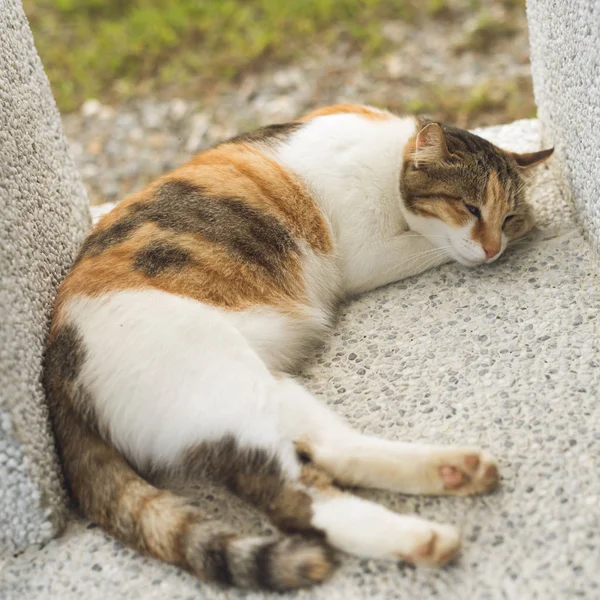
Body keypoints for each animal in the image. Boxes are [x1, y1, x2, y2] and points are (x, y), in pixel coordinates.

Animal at [43, 104, 552, 592]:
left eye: (504, 217)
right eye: (470, 208)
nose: (493, 249)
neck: (390, 154)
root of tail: (54, 369)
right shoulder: (370, 256)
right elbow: (430, 246)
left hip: (266, 391)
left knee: (331, 451)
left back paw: (453, 471)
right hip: (227, 382)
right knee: (294, 500)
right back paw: (422, 536)